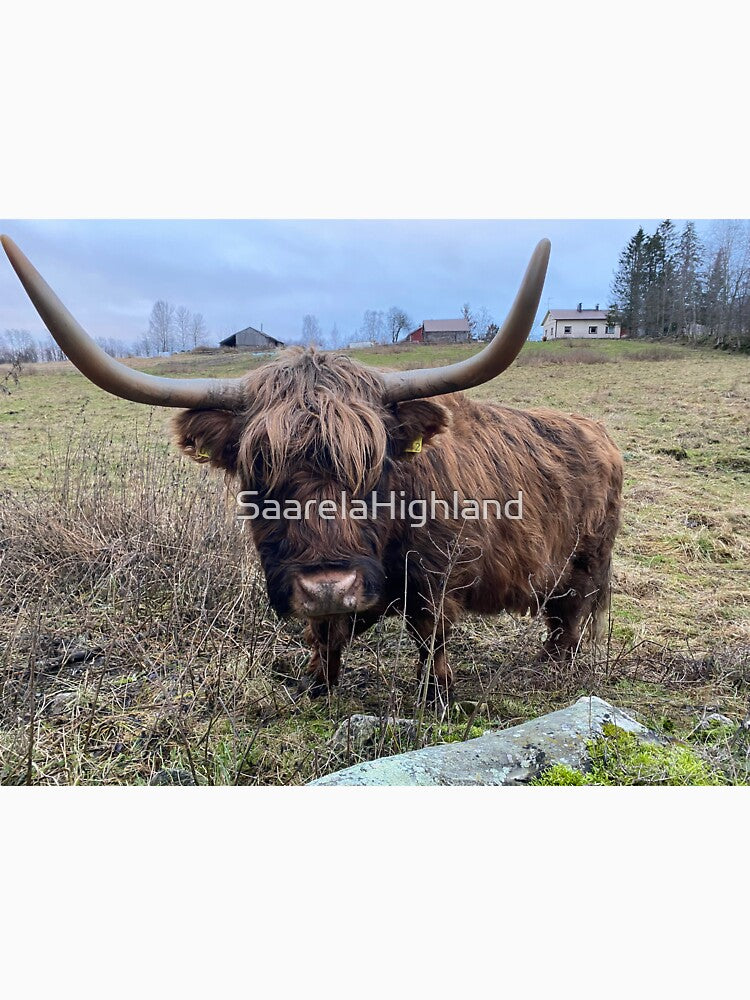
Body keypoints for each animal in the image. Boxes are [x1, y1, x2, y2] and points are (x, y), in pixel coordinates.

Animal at [1, 235, 623, 702]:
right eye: (258, 472)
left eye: (375, 470)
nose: (329, 584)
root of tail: (598, 432)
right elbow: (324, 634)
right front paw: (317, 685)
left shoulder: (434, 580)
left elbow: (430, 638)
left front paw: (434, 697)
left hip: (586, 562)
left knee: (569, 616)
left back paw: (555, 667)